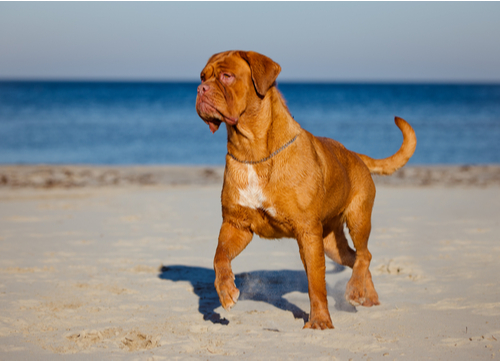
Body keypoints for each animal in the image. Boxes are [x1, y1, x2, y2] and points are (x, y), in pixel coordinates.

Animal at [195, 50, 418, 330]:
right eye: (202, 77)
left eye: (227, 76)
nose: (200, 89)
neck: (252, 151)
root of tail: (356, 155)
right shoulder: (236, 225)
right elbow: (220, 256)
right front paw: (225, 291)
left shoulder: (308, 233)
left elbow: (316, 283)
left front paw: (320, 321)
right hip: (332, 243)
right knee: (356, 257)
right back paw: (369, 296)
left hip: (358, 219)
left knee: (364, 254)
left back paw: (355, 290)